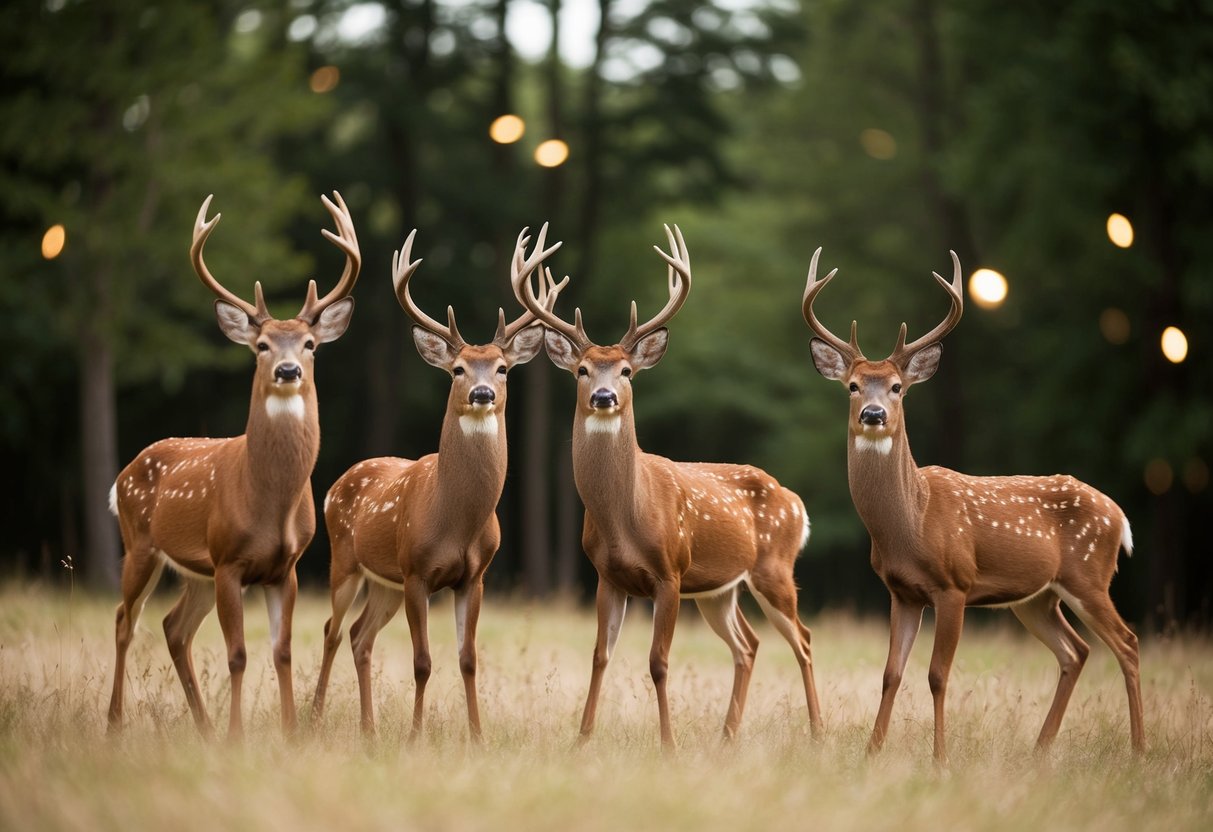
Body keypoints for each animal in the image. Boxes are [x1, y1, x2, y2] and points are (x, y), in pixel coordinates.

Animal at [107, 192, 360, 739]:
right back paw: (115, 722)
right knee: (124, 620)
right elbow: (238, 654)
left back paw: (201, 726)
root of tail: (123, 474)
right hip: (142, 545)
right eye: (261, 345)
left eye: (310, 344)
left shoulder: (284, 566)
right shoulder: (228, 560)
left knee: (173, 627)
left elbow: (281, 652)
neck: (269, 500)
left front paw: (290, 732)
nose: (287, 370)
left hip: (196, 572)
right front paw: (237, 735)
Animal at [311, 229, 565, 741]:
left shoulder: (475, 576)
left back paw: (368, 729)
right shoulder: (417, 571)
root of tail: (337, 483)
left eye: (502, 368)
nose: (482, 394)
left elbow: (468, 659)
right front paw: (414, 736)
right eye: (458, 369)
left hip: (382, 581)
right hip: (345, 560)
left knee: (360, 635)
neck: (456, 520)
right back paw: (314, 718)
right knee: (332, 629)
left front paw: (478, 736)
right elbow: (423, 661)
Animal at [512, 223, 823, 750]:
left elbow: (658, 662)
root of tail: (796, 503)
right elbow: (600, 656)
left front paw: (668, 743)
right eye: (581, 370)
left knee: (801, 638)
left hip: (774, 568)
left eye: (626, 370)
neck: (626, 518)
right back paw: (727, 736)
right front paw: (582, 739)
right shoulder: (607, 576)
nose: (603, 396)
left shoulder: (671, 572)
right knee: (748, 643)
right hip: (720, 590)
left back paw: (818, 731)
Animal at [801, 247, 1144, 762]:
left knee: (1127, 643)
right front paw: (872, 752)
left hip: (1089, 575)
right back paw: (1040, 748)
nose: (874, 415)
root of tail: (1119, 516)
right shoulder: (901, 592)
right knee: (1076, 650)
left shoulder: (955, 584)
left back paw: (1140, 750)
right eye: (853, 386)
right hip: (1038, 597)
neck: (912, 522)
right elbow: (891, 674)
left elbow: (937, 676)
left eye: (898, 387)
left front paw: (940, 757)